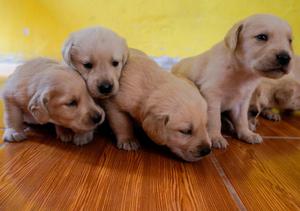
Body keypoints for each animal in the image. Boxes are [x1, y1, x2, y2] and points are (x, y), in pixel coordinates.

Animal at [171, 14, 292, 148]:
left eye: (290, 41)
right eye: (262, 37)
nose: (285, 57)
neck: (242, 73)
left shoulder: (242, 101)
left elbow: (242, 119)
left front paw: (247, 134)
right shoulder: (212, 95)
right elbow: (215, 120)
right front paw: (216, 137)